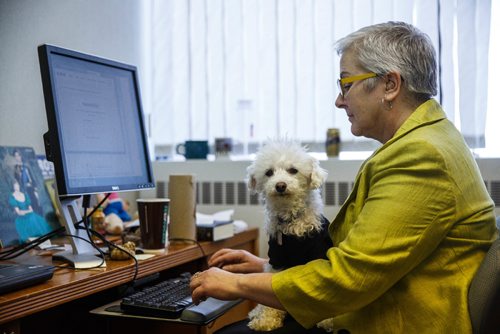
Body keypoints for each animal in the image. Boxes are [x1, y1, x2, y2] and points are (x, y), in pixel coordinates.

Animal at [245, 138, 332, 332]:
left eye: (293, 170)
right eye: (269, 172)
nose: (280, 185)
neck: (291, 220)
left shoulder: (318, 253)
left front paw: (327, 319)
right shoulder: (276, 260)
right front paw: (266, 319)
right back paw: (256, 312)